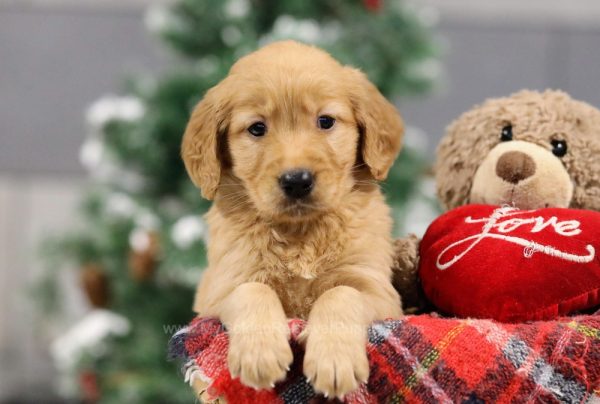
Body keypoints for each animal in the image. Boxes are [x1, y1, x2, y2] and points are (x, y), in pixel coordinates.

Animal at [182, 40, 404, 398]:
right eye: (257, 128)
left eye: (325, 121)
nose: (297, 181)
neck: (301, 233)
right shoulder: (217, 292)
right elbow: (253, 290)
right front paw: (260, 354)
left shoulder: (378, 291)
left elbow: (341, 294)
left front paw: (334, 361)